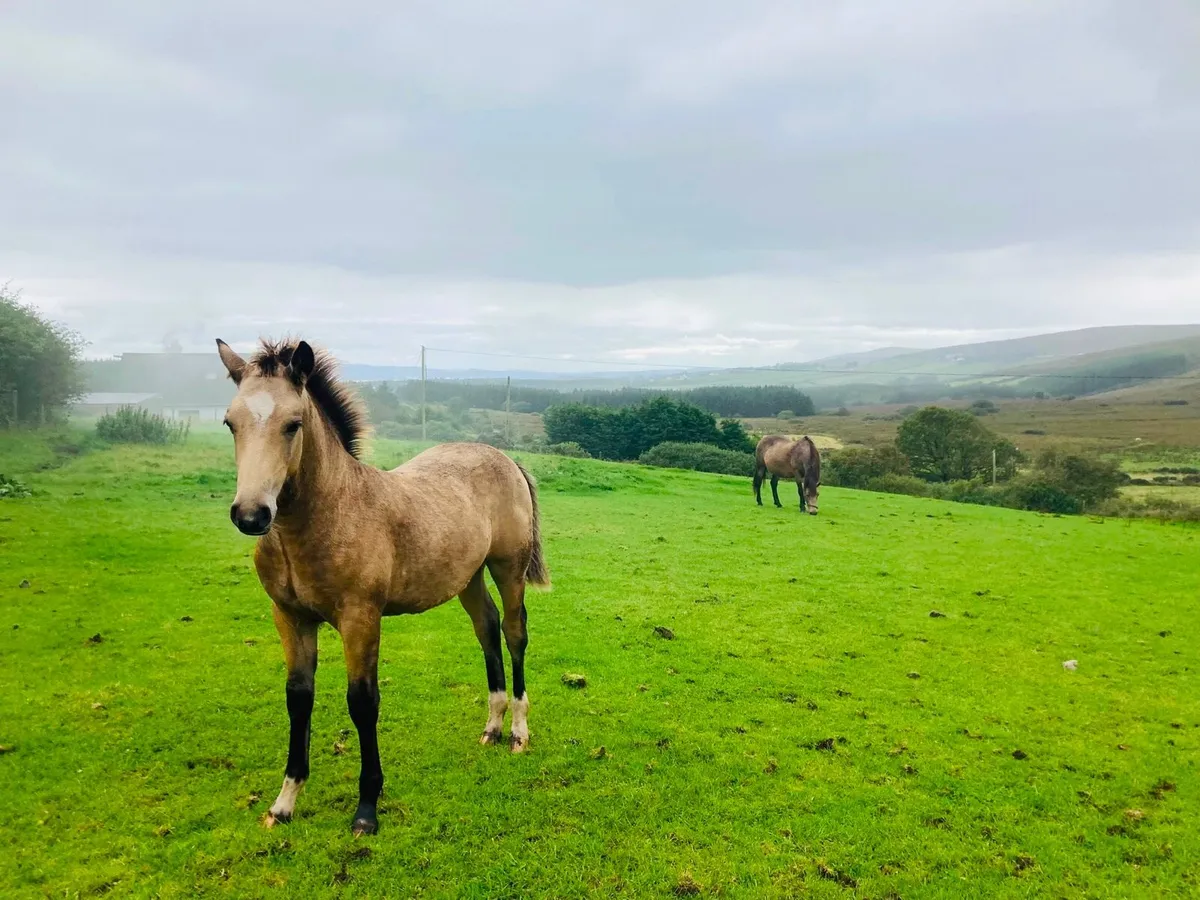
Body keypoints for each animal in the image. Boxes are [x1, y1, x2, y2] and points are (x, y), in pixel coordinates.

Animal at [215, 337, 550, 836]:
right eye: (230, 423)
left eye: (293, 424)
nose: (252, 515)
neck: (329, 515)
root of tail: (506, 457)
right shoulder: (290, 618)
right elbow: (298, 699)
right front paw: (284, 803)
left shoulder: (360, 618)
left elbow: (362, 702)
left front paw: (366, 808)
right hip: (467, 577)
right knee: (487, 630)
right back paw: (492, 726)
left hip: (508, 568)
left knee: (513, 634)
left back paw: (518, 732)